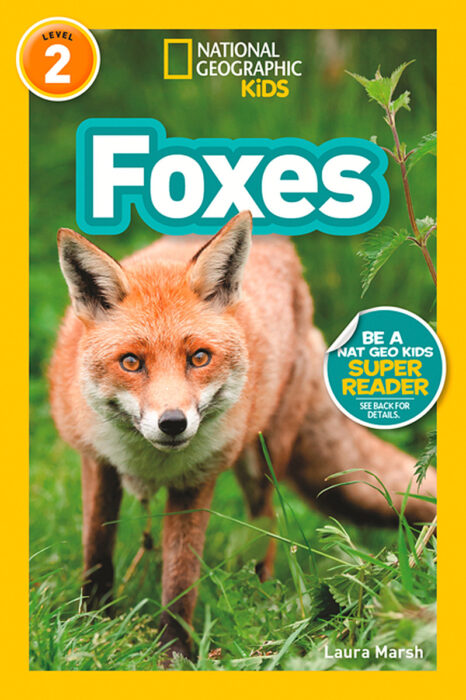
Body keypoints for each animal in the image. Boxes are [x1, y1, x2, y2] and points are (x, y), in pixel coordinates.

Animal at [49, 210, 436, 661]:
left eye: (199, 358)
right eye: (131, 362)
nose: (173, 423)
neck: (147, 460)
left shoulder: (196, 481)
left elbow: (180, 580)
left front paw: (174, 655)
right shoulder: (98, 462)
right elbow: (97, 551)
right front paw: (90, 625)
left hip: (263, 460)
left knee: (266, 526)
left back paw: (262, 599)